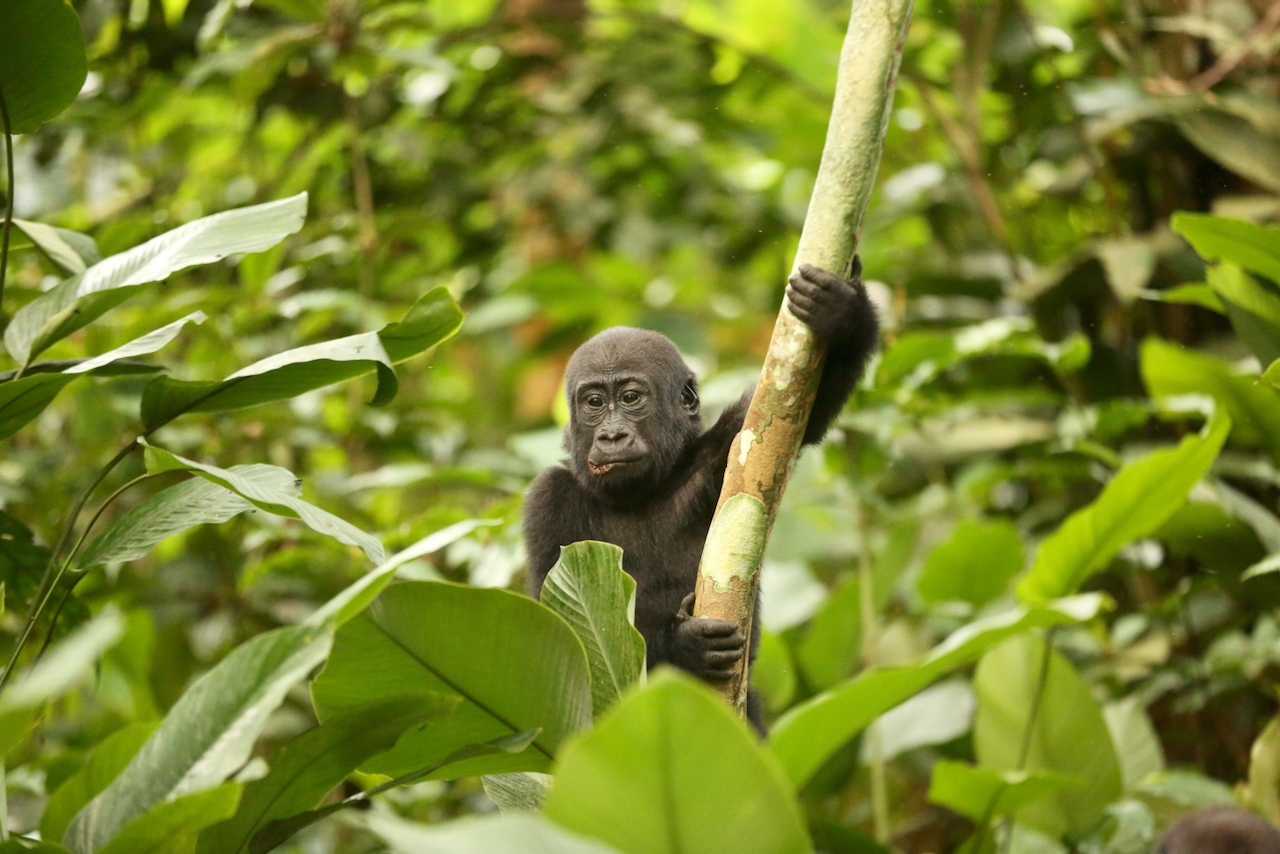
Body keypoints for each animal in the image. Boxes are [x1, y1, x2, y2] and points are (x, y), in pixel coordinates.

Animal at [523, 261, 878, 729]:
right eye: (594, 402)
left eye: (631, 397)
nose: (611, 435)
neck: (641, 493)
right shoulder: (546, 500)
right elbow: (560, 633)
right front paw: (684, 644)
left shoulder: (730, 447)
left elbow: (799, 409)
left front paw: (842, 315)